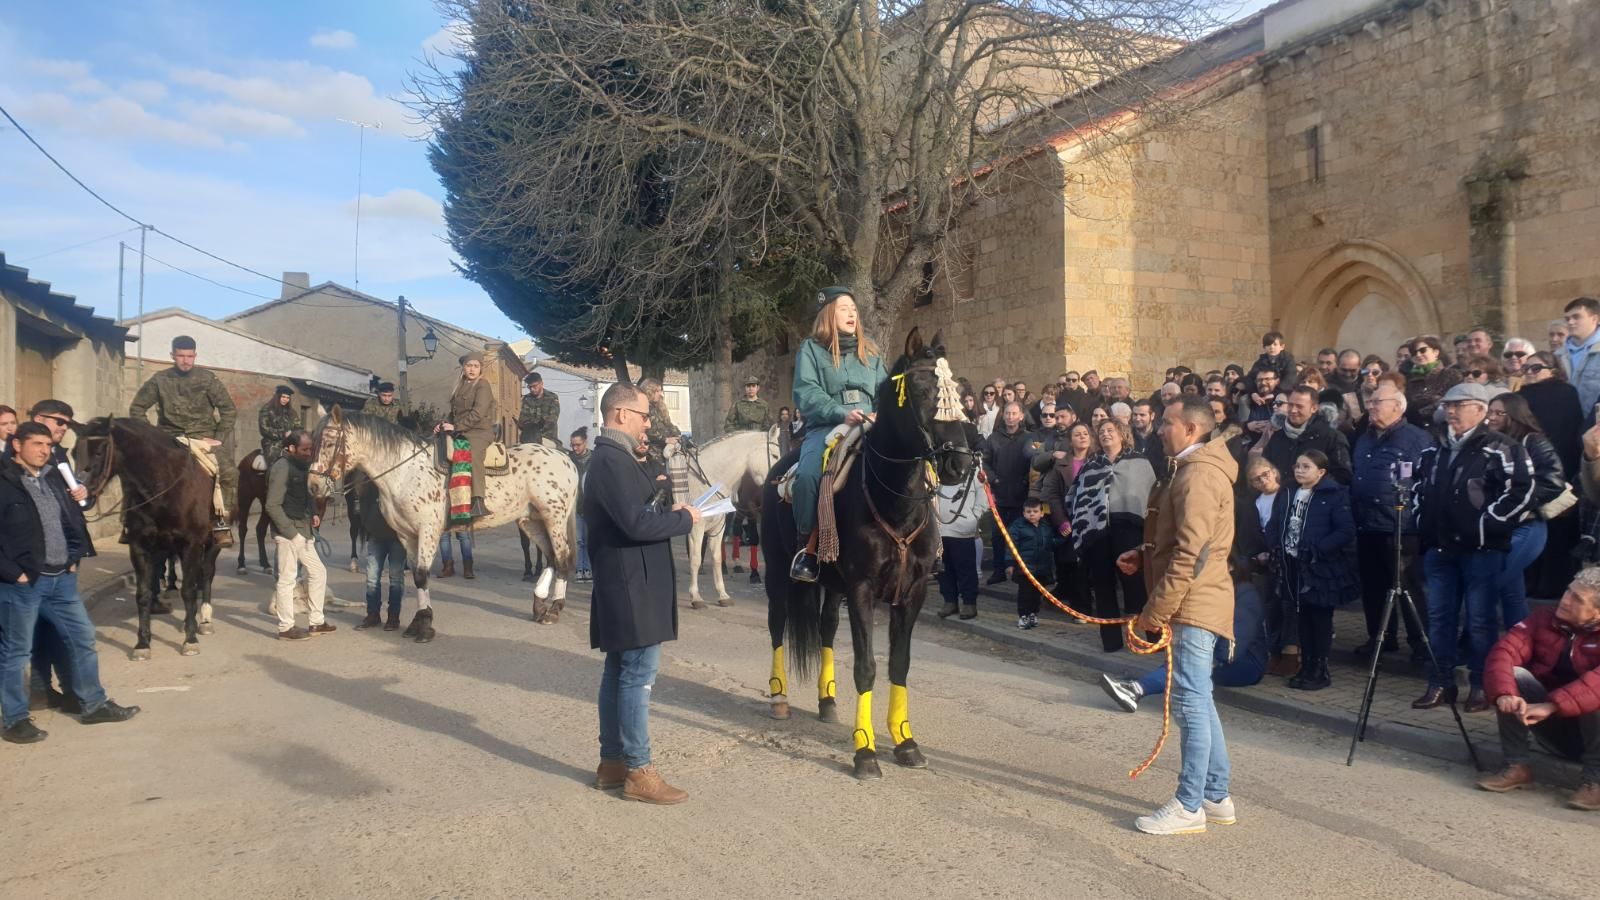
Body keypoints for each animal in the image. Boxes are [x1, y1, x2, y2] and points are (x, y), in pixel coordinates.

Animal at [76, 416, 225, 659]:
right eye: (73, 452)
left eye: (99, 451)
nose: (81, 492)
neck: (162, 487)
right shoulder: (140, 546)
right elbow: (143, 594)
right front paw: (142, 643)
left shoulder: (191, 544)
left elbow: (188, 590)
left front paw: (190, 640)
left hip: (211, 543)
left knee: (206, 575)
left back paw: (204, 620)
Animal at [307, 406, 582, 637]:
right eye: (313, 441)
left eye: (329, 442)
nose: (314, 485)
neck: (405, 472)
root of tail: (565, 459)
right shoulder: (407, 535)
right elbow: (417, 576)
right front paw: (418, 621)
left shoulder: (427, 530)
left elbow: (421, 574)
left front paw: (425, 625)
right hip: (531, 521)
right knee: (551, 557)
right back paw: (539, 605)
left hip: (554, 518)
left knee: (563, 558)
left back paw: (554, 610)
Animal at [665, 422, 784, 605]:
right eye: (775, 455)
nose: (780, 482)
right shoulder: (696, 528)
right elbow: (695, 559)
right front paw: (696, 596)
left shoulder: (718, 525)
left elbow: (715, 557)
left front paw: (722, 594)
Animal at [761, 325, 972, 775]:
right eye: (922, 389)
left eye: (960, 394)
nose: (960, 464)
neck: (895, 501)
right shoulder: (861, 590)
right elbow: (866, 667)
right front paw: (865, 751)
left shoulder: (910, 592)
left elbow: (899, 665)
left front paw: (905, 742)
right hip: (777, 574)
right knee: (776, 627)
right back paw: (779, 697)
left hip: (832, 585)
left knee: (825, 628)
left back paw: (826, 701)